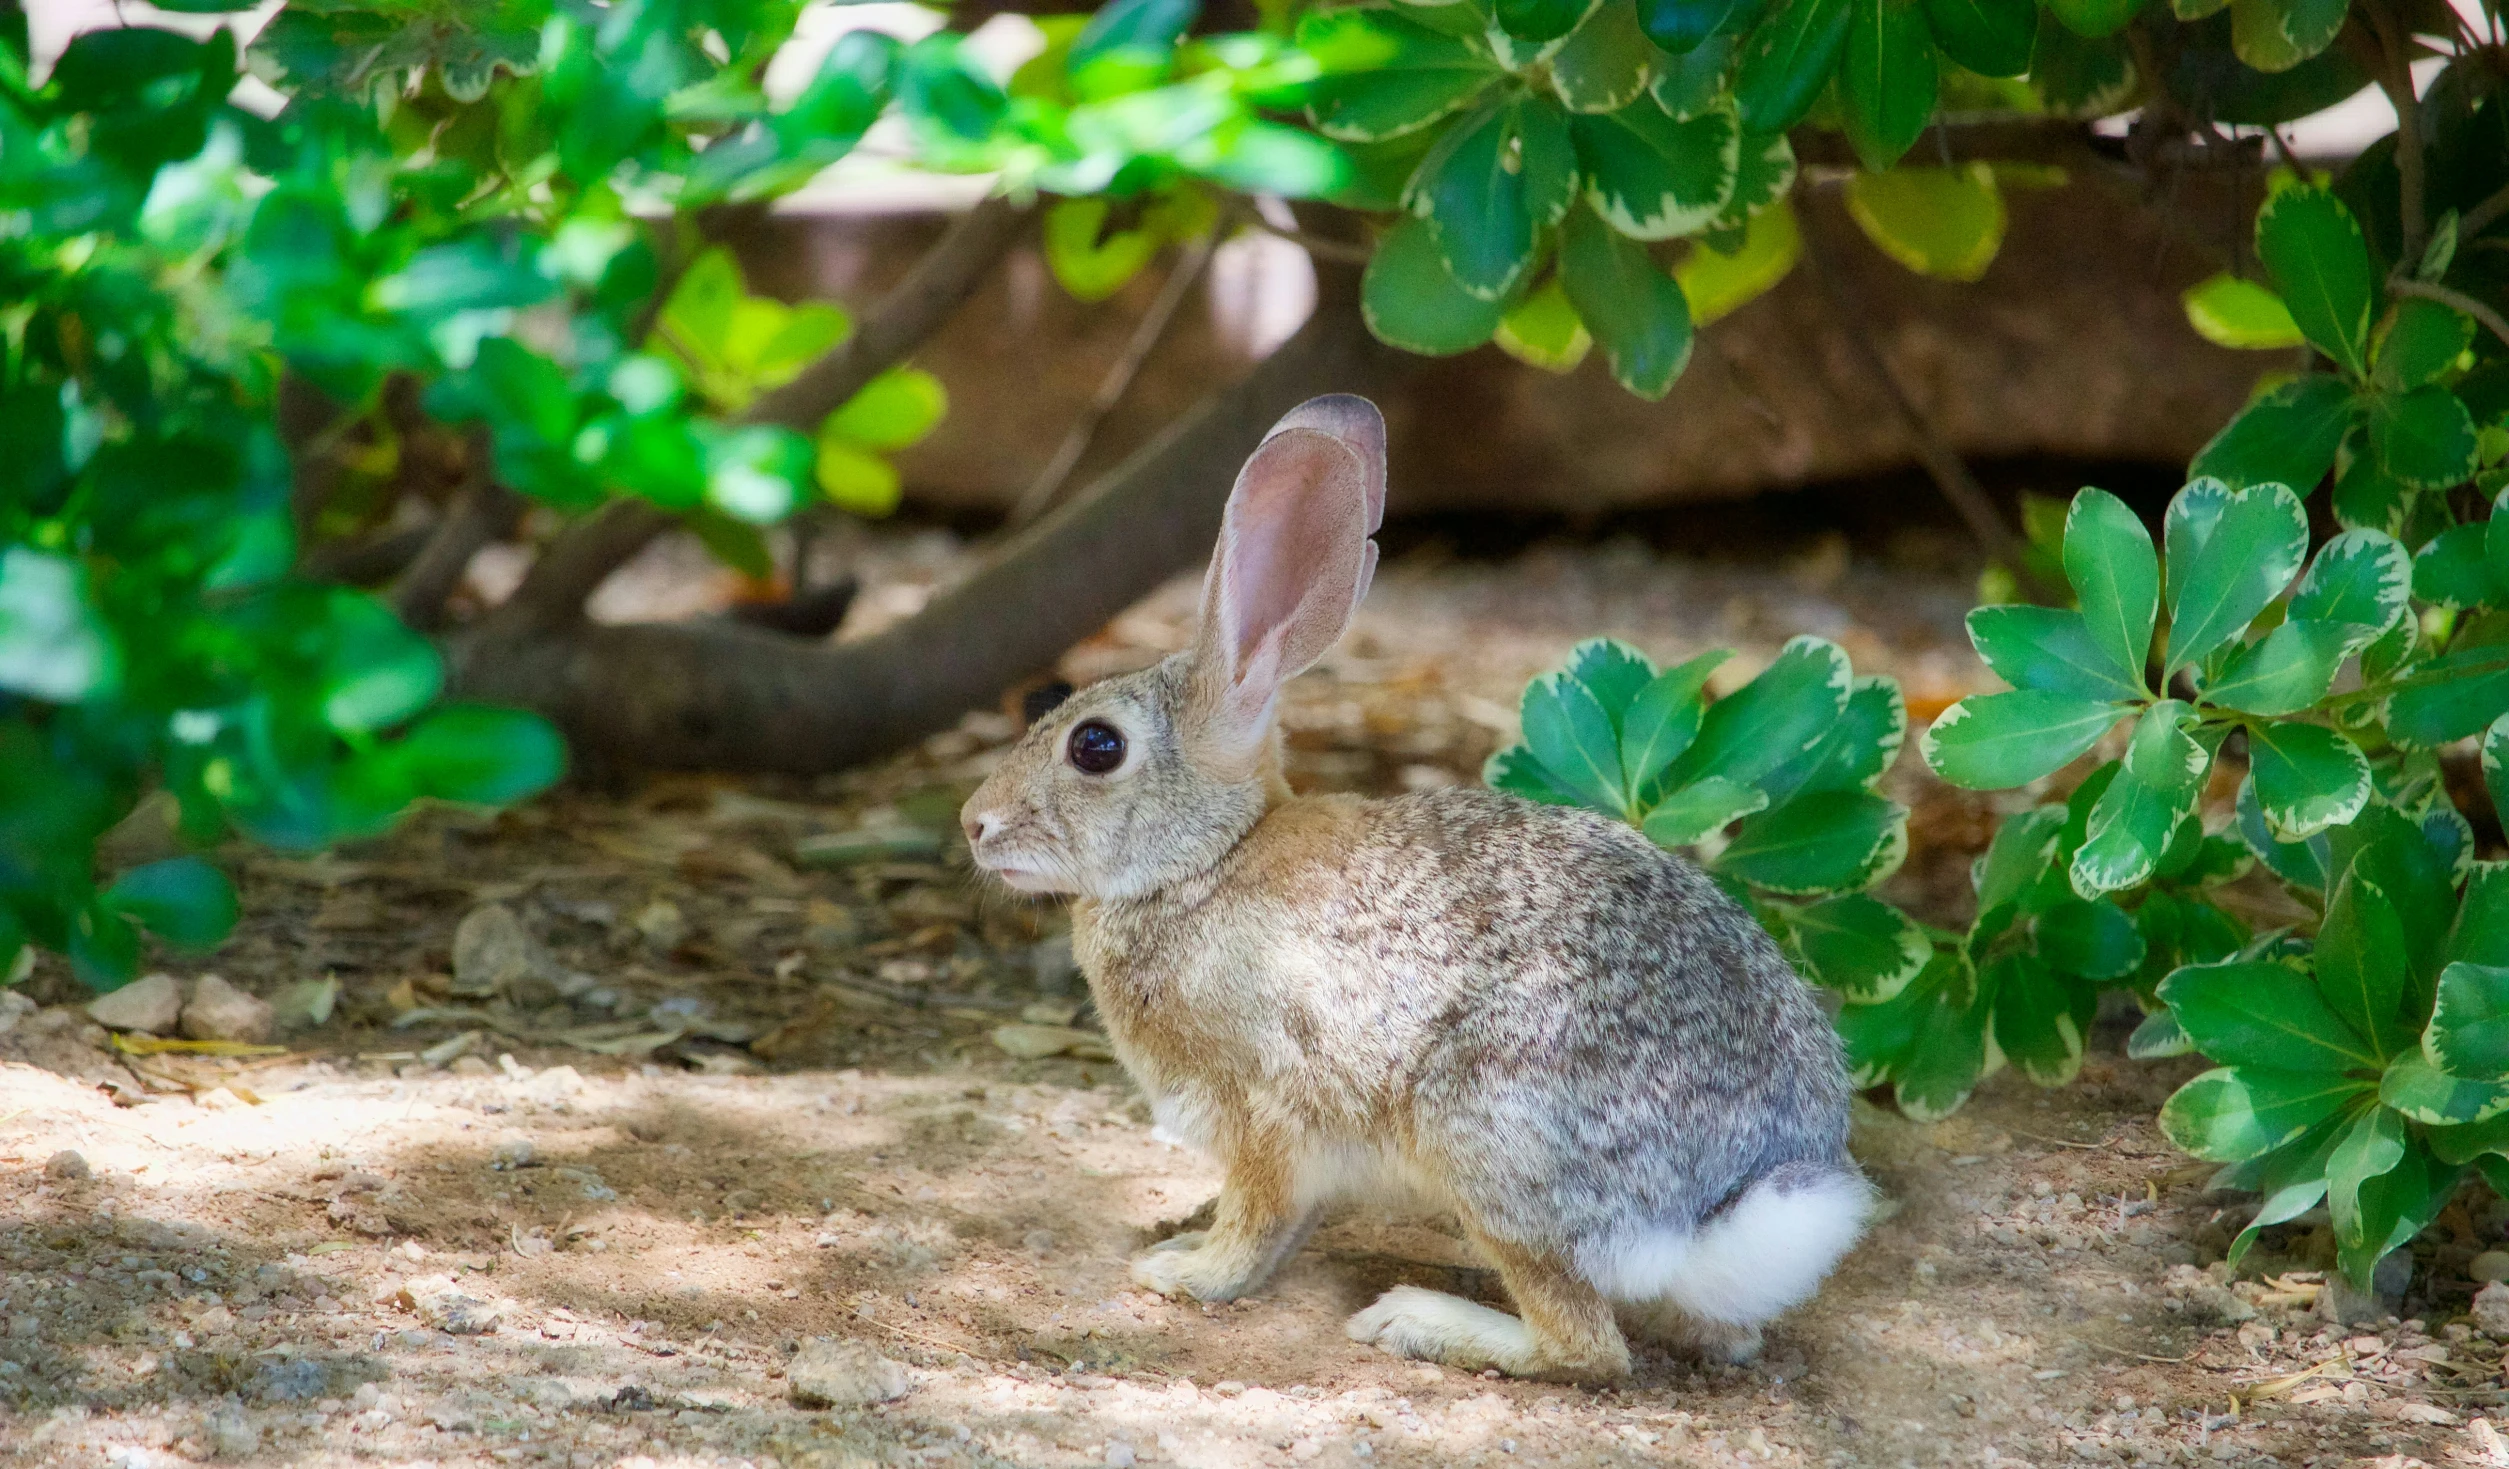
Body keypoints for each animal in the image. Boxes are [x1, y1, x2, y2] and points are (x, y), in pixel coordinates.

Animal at [968, 394, 1876, 1376]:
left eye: (1095, 746)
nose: (974, 823)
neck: (1208, 859)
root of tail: (1733, 1205)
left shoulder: (1264, 1103)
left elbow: (1255, 1213)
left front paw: (1187, 1270)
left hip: (1483, 1137)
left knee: (1585, 1346)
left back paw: (1420, 1318)